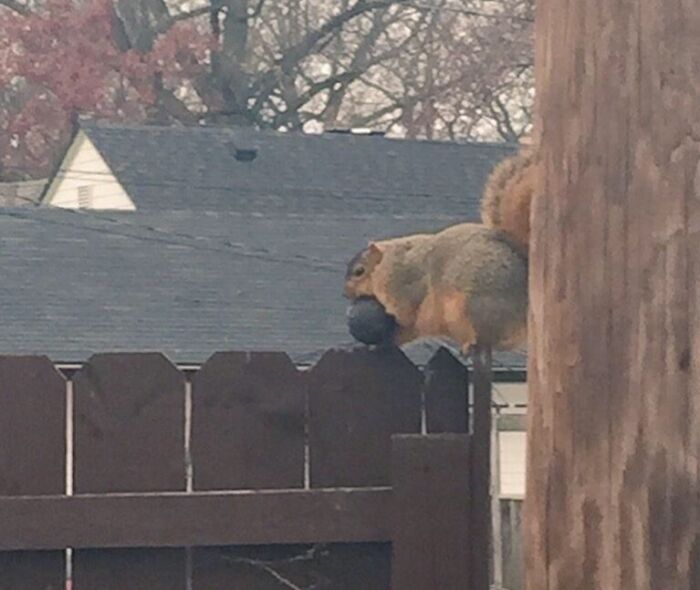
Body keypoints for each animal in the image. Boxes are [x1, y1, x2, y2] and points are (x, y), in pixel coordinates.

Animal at [344, 147, 535, 354]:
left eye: (359, 271)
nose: (346, 294)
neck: (387, 263)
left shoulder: (403, 283)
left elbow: (406, 312)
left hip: (475, 305)